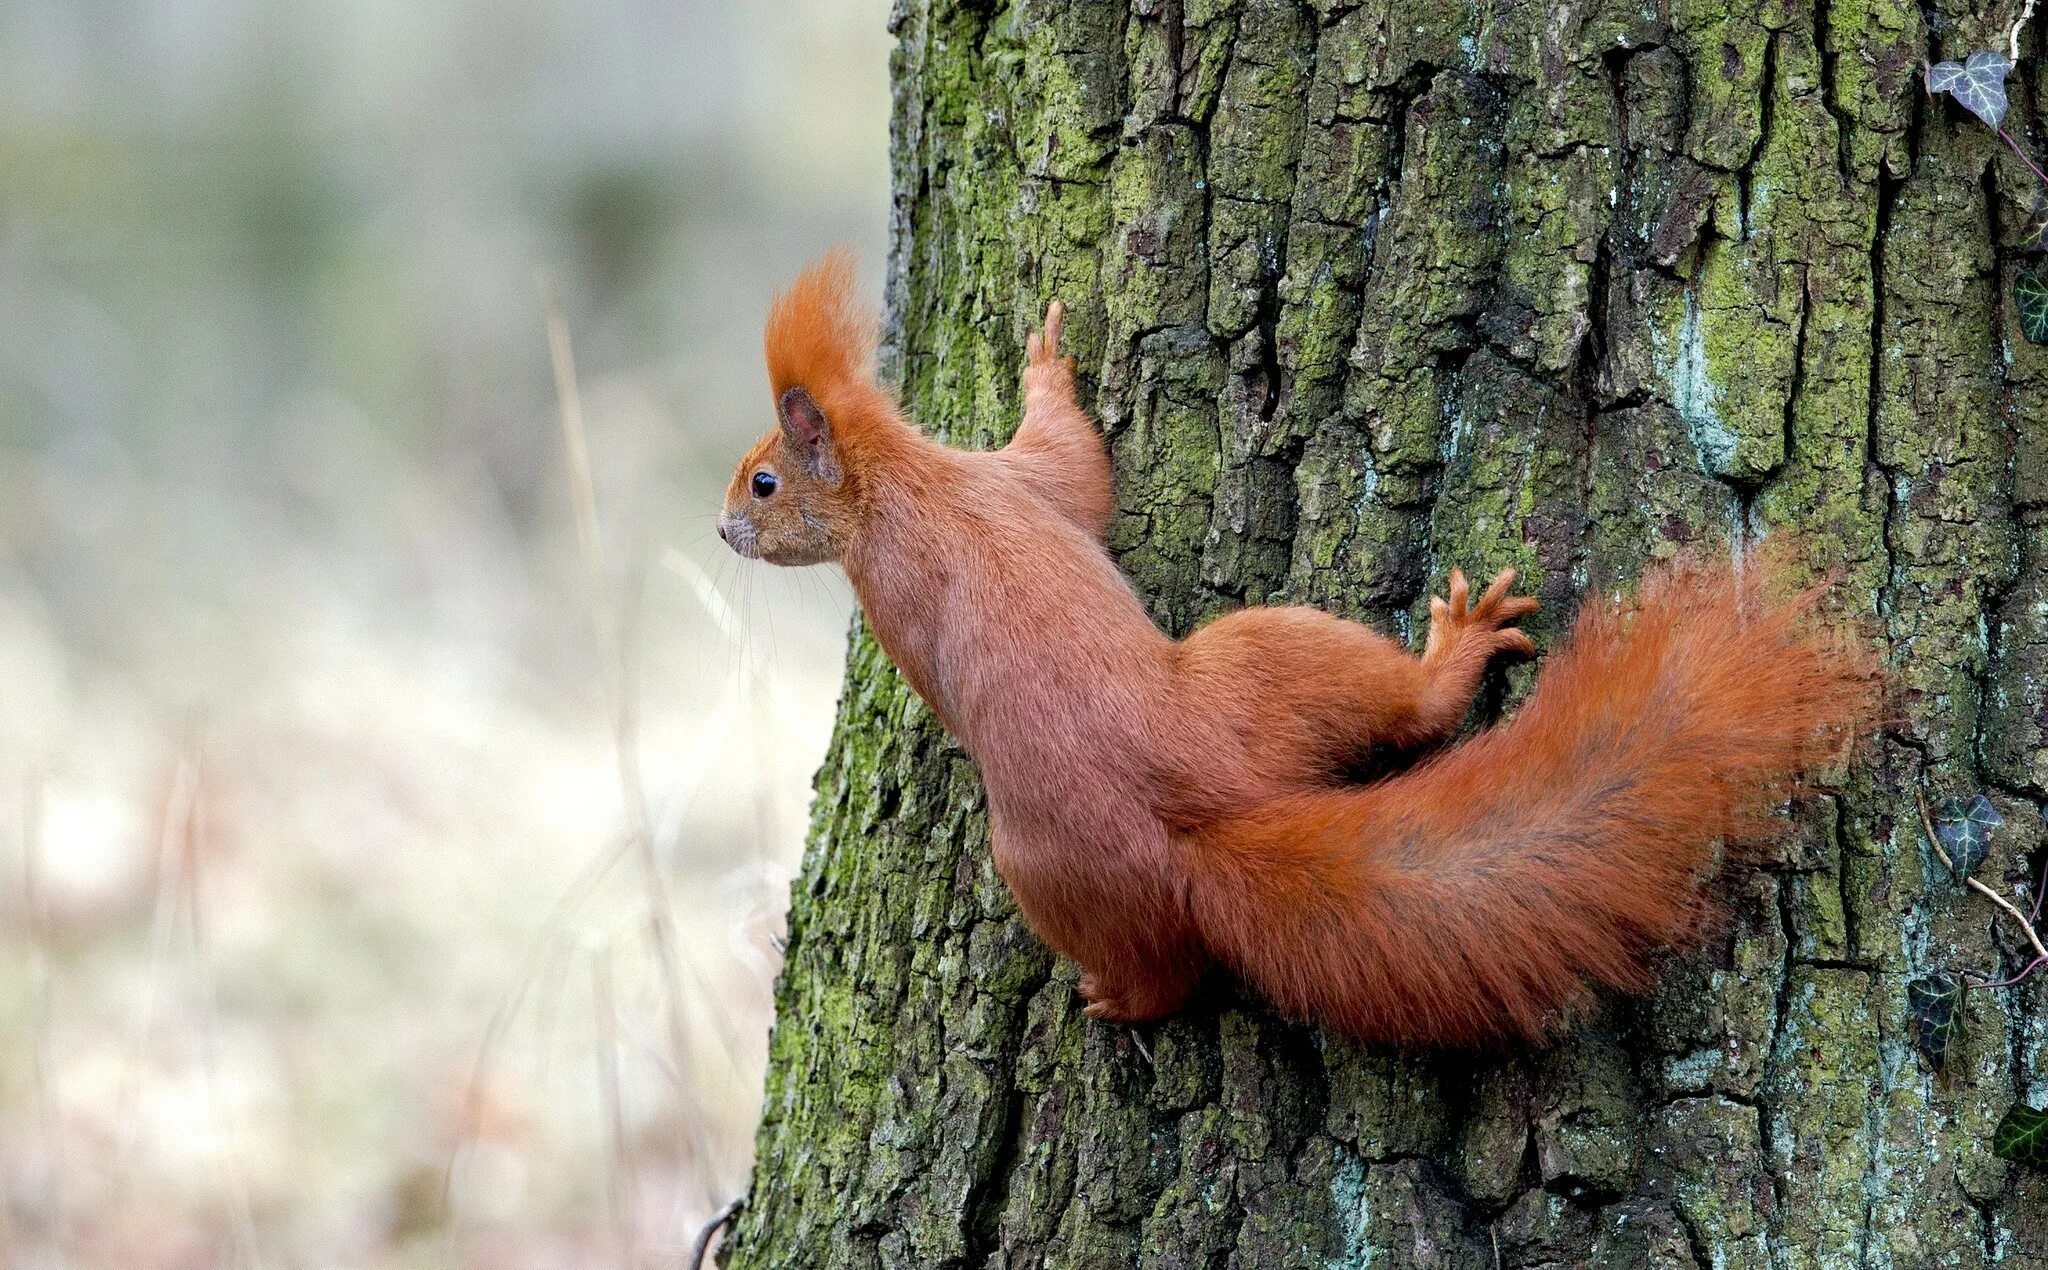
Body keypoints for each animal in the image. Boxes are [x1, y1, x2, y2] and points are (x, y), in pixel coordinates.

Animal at [716, 252, 1875, 1048]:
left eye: (762, 481)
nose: (723, 531)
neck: (896, 488)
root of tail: (1212, 819)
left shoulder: (983, 501)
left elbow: (1069, 459)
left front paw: (1043, 363)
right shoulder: (1001, 497)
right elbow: (1072, 471)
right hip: (1249, 678)